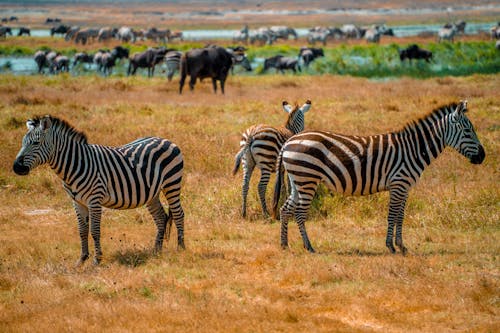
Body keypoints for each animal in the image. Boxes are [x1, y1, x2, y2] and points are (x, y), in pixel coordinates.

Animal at [13, 115, 186, 264]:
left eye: (36, 143)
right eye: (23, 142)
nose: (16, 168)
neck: (75, 164)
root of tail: (164, 139)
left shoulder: (94, 200)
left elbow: (94, 231)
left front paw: (97, 260)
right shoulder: (77, 202)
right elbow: (82, 230)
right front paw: (82, 259)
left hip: (172, 183)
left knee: (178, 214)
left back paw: (181, 248)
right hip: (151, 193)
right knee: (161, 217)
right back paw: (156, 251)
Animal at [274, 100, 484, 253]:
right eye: (468, 131)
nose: (483, 156)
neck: (414, 150)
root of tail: (289, 141)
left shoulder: (405, 187)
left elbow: (400, 216)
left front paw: (402, 246)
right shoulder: (398, 183)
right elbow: (392, 215)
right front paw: (391, 246)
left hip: (297, 180)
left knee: (286, 209)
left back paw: (284, 245)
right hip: (307, 178)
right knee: (299, 212)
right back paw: (309, 246)